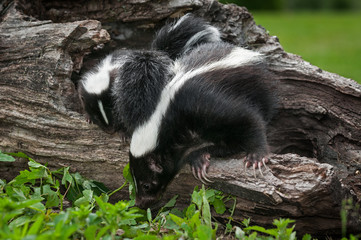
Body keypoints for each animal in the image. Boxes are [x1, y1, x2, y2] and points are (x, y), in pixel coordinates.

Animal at [130, 41, 278, 210]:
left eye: (146, 185)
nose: (139, 203)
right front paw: (199, 159)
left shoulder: (203, 104)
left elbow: (248, 118)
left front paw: (257, 156)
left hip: (260, 88)